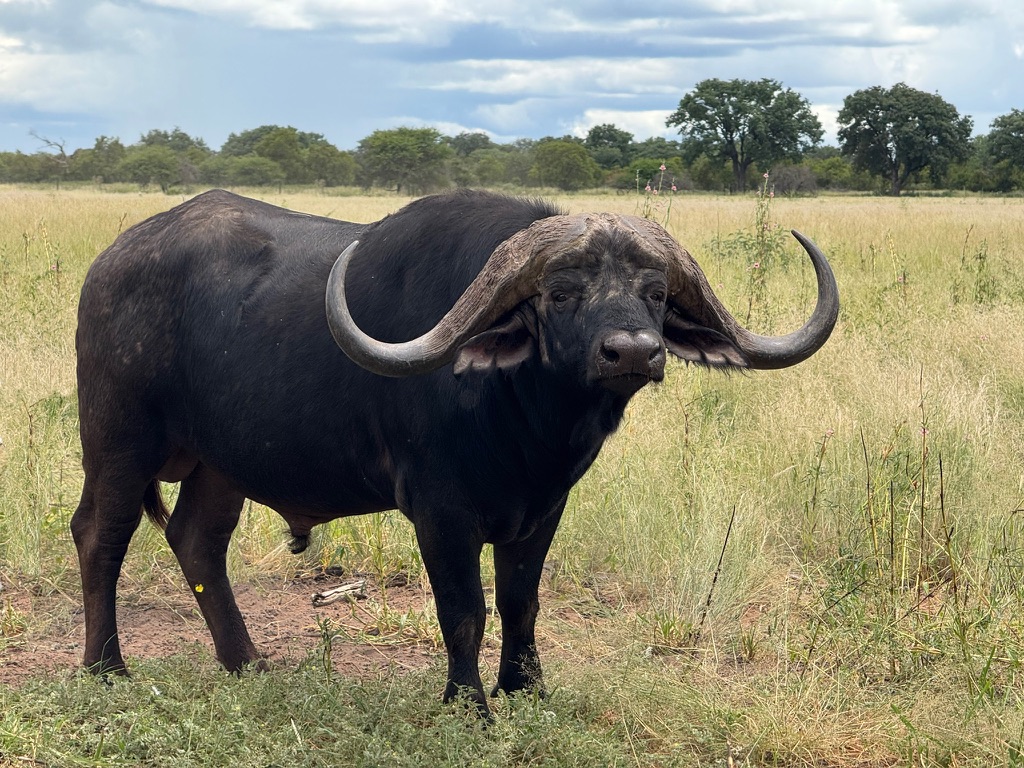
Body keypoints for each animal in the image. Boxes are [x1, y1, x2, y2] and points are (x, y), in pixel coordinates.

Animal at [71, 188, 838, 715]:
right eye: (562, 292)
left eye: (654, 293)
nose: (633, 353)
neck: (522, 420)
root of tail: (111, 262)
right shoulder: (441, 512)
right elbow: (464, 610)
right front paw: (468, 704)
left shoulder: (543, 509)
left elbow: (522, 602)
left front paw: (525, 689)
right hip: (118, 443)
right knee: (99, 536)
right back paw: (107, 667)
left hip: (218, 466)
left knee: (197, 540)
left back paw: (247, 663)